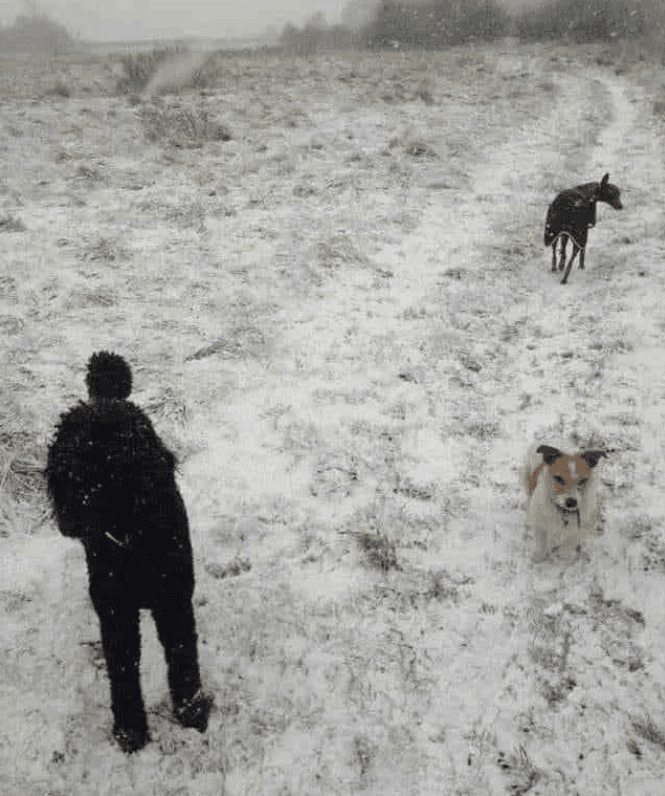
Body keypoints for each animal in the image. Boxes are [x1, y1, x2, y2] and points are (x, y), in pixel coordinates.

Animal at [45, 352, 211, 752]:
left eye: (111, 466)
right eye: (65, 467)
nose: (70, 516)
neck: (134, 541)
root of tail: (107, 397)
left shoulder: (173, 601)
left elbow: (182, 658)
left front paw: (192, 714)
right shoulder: (116, 610)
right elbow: (122, 670)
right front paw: (130, 730)